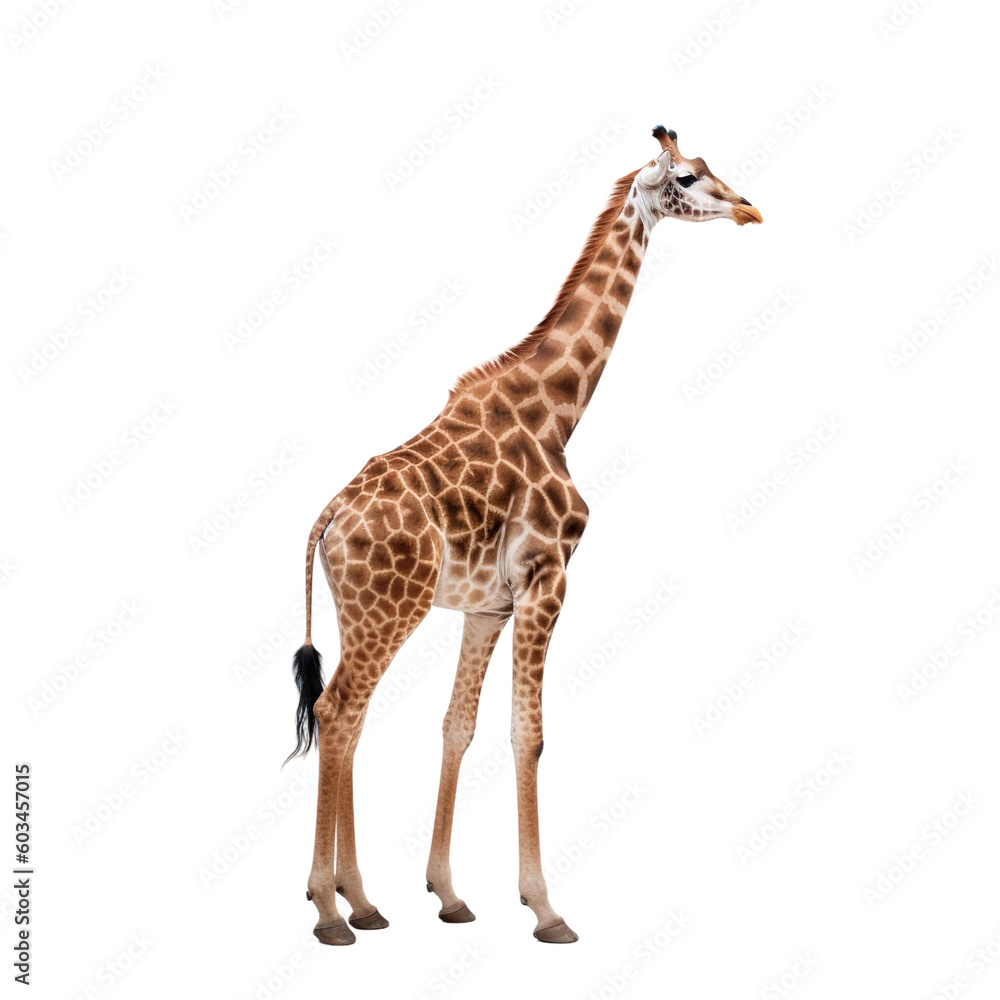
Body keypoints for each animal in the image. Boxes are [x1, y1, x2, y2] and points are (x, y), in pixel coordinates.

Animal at [289, 125, 762, 946]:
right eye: (688, 177)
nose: (748, 209)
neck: (559, 410)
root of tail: (329, 519)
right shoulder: (550, 575)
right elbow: (528, 733)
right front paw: (545, 907)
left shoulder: (488, 604)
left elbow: (459, 726)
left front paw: (448, 893)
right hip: (391, 608)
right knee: (338, 710)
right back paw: (328, 910)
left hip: (364, 608)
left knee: (351, 717)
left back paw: (364, 901)